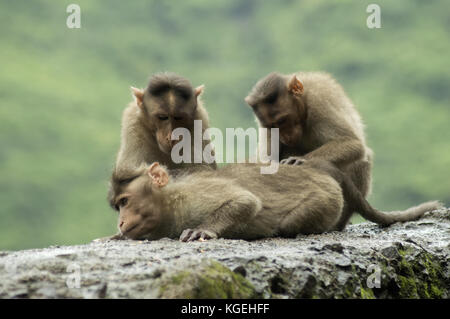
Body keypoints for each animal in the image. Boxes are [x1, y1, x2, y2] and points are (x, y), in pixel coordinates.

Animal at [246, 71, 372, 230]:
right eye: (272, 126)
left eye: (282, 120)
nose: (285, 137)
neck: (304, 105)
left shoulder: (319, 102)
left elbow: (353, 143)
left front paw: (300, 160)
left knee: (361, 160)